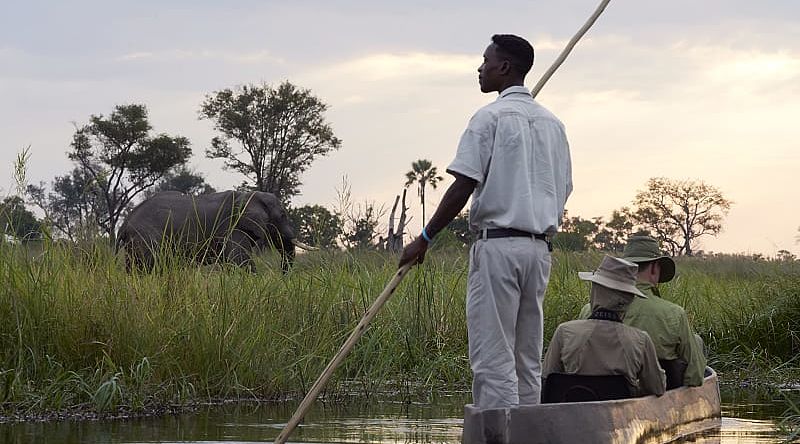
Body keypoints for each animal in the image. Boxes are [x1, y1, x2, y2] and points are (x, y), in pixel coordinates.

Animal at [116, 190, 316, 272]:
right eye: (282, 215)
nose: (283, 277)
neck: (249, 195)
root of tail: (124, 225)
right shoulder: (231, 227)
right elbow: (240, 261)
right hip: (146, 238)